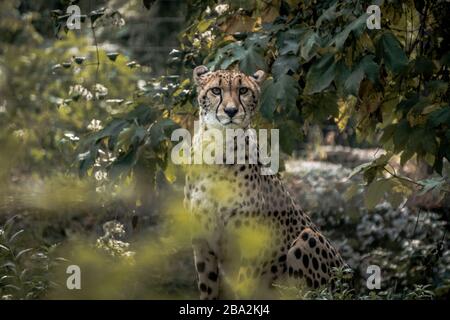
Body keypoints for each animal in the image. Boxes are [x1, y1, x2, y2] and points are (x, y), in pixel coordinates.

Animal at [183, 65, 344, 300]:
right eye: (216, 91)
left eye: (243, 90)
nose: (231, 111)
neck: (217, 147)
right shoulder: (202, 242)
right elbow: (208, 288)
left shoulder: (254, 242)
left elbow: (244, 285)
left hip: (308, 238)